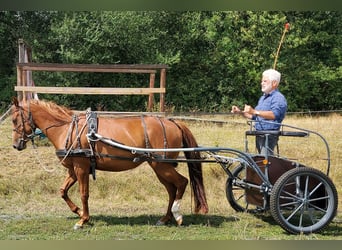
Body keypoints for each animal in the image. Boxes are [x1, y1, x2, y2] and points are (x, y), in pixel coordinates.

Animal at [10, 97, 208, 229]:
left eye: (14, 119)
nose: (16, 144)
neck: (67, 129)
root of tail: (173, 122)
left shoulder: (81, 168)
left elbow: (84, 194)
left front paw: (83, 219)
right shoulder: (73, 170)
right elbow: (62, 191)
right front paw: (79, 212)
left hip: (162, 165)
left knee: (181, 183)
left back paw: (177, 215)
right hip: (159, 167)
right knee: (171, 189)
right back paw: (165, 218)